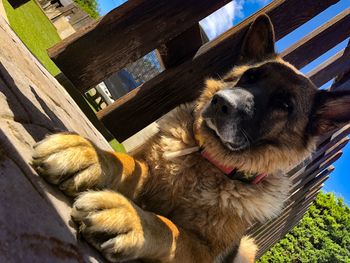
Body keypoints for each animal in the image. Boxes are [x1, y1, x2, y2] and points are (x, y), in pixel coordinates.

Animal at [32, 14, 350, 263]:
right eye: (249, 77)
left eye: (284, 105)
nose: (222, 103)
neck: (206, 164)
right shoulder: (146, 168)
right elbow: (127, 163)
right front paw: (90, 155)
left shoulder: (202, 251)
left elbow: (168, 228)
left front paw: (129, 218)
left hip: (247, 248)